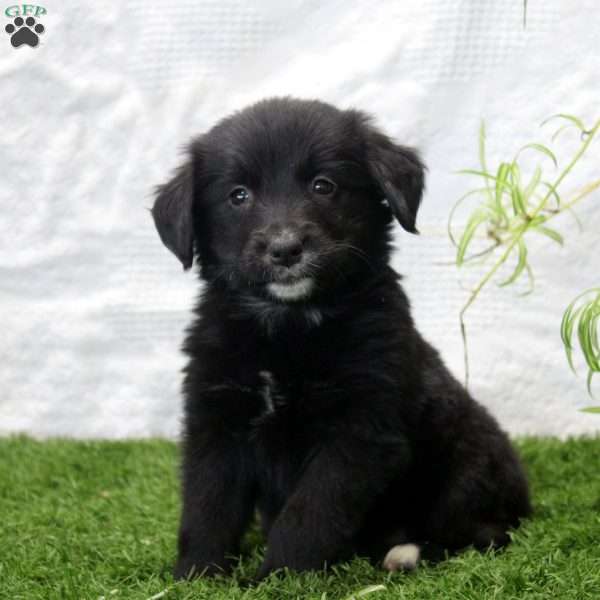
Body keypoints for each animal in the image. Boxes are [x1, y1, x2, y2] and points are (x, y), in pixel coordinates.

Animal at [152, 96, 532, 580]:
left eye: (323, 185)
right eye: (238, 195)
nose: (285, 249)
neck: (288, 326)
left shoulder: (360, 428)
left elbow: (310, 512)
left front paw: (279, 577)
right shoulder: (217, 418)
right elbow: (207, 505)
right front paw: (197, 575)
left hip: (467, 463)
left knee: (483, 534)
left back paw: (406, 552)